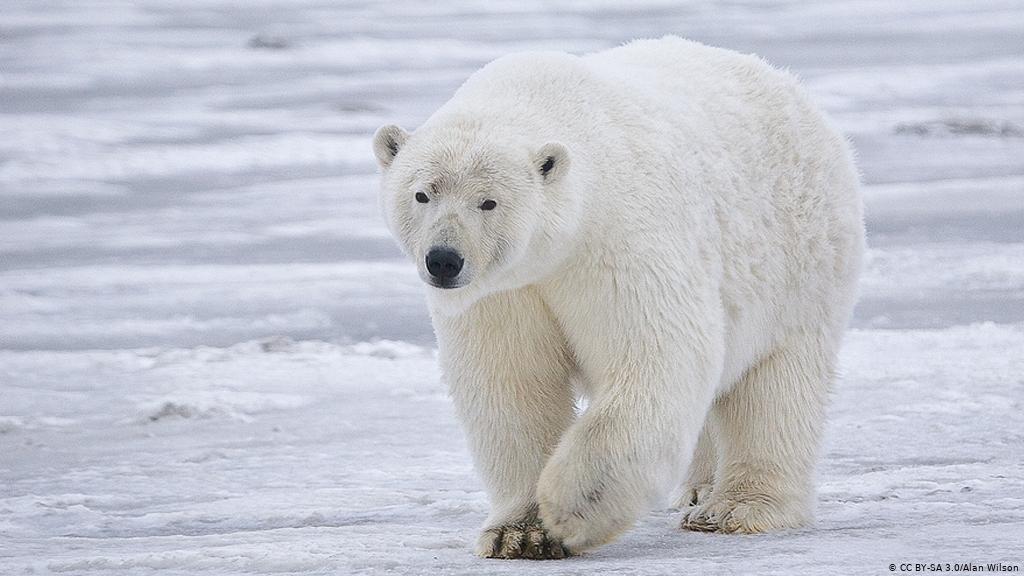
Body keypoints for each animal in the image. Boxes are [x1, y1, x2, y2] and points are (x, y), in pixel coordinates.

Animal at [372, 35, 860, 557]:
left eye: (489, 202)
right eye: (422, 194)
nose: (444, 260)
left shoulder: (618, 241)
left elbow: (656, 355)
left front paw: (570, 509)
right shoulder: (505, 292)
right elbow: (511, 384)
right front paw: (518, 533)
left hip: (799, 263)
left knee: (776, 387)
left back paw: (735, 508)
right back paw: (698, 488)